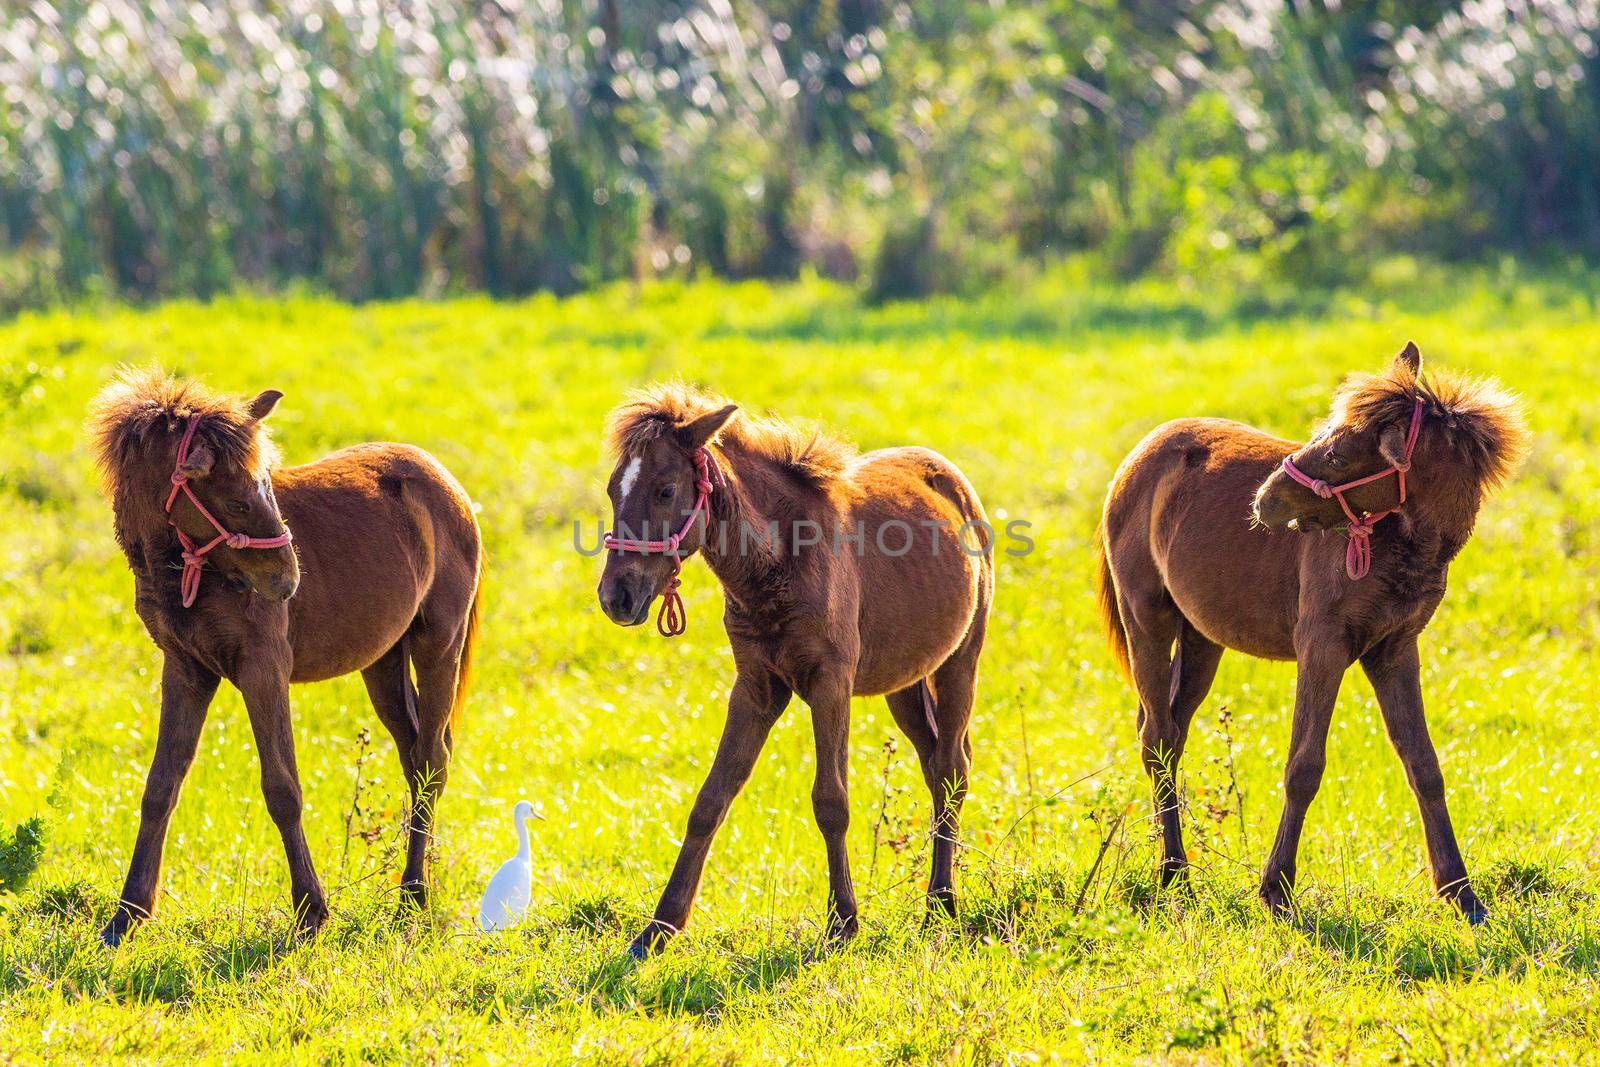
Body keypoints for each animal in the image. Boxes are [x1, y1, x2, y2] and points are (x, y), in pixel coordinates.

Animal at [92, 371, 480, 947]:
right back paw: (418, 879)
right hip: (383, 663)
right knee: (415, 757)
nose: (287, 579)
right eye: (234, 502)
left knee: (433, 759)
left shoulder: (263, 669)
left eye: (267, 486)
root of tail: (445, 482)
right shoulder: (186, 670)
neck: (195, 575)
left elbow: (282, 788)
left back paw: (412, 895)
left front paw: (311, 910)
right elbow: (160, 785)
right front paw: (128, 914)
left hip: (439, 645)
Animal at [595, 385, 985, 959]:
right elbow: (710, 800)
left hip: (960, 661)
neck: (777, 562)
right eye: (611, 490)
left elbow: (831, 801)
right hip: (907, 682)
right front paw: (658, 929)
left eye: (665, 491)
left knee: (953, 768)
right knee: (936, 765)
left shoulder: (830, 684)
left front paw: (843, 921)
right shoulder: (755, 688)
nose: (615, 597)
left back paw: (941, 904)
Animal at [1100, 347, 1523, 921]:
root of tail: (1138, 456)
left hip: (1202, 640)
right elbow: (1304, 766)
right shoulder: (1322, 647)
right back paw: (1173, 873)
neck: (1392, 546)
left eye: (1342, 456)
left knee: (1169, 731)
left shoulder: (1394, 651)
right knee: (1157, 741)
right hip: (1146, 621)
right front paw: (1276, 888)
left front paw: (1461, 893)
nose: (1265, 499)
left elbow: (1424, 766)